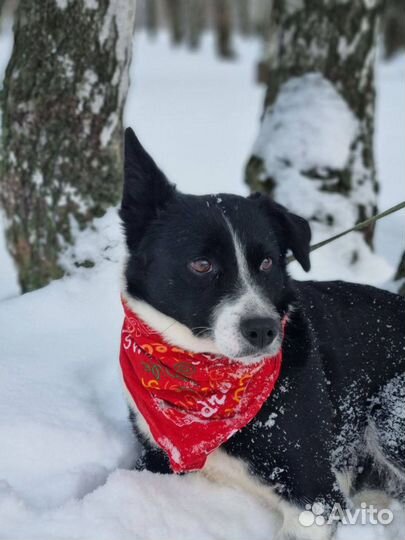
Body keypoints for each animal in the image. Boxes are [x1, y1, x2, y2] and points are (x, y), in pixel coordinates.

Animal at [118, 126, 402, 540]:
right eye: (201, 264)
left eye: (267, 262)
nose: (263, 330)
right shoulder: (157, 456)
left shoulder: (315, 494)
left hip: (389, 408)